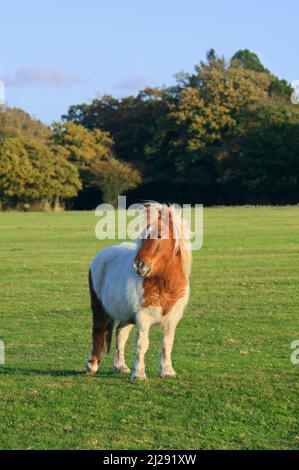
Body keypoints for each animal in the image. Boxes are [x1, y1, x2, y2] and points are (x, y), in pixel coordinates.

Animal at [85, 201, 192, 378]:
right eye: (142, 237)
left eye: (159, 235)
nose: (139, 265)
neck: (164, 284)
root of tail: (103, 254)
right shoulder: (143, 317)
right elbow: (142, 344)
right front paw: (139, 374)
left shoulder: (172, 319)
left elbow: (167, 343)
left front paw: (167, 370)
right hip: (99, 307)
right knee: (98, 331)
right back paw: (91, 366)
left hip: (126, 315)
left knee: (120, 334)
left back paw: (120, 366)